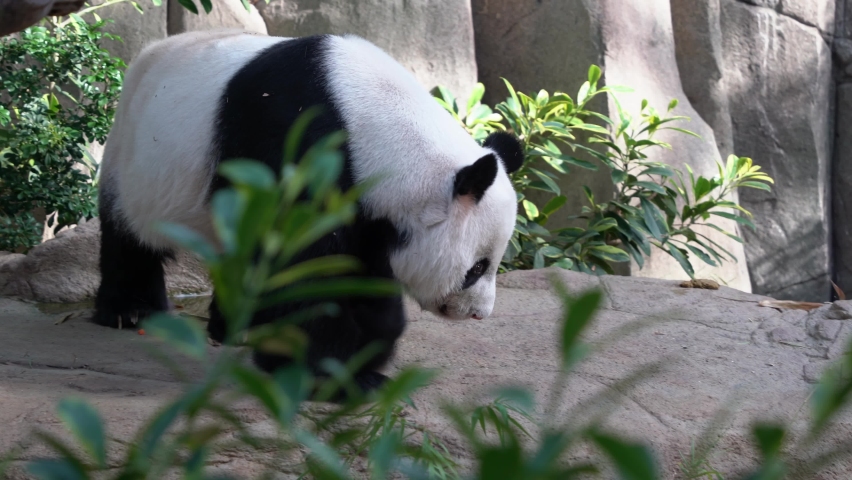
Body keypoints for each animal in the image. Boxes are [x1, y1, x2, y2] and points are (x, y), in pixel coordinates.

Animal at [93, 30, 523, 394]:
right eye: (477, 268)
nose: (478, 314)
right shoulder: (297, 144)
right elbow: (302, 266)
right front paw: (329, 371)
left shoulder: (368, 206)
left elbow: (359, 272)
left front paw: (365, 356)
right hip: (133, 157)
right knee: (128, 237)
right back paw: (131, 311)